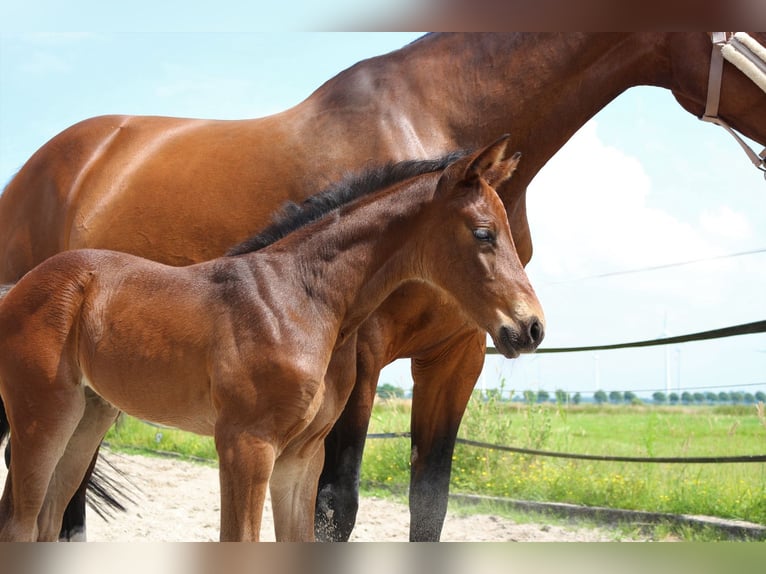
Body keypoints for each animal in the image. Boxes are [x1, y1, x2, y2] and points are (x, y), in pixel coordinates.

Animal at [0, 136, 544, 541]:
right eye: (484, 233)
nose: (532, 327)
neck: (299, 298)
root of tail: (18, 288)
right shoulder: (246, 444)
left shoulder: (302, 457)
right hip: (43, 417)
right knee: (20, 523)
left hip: (88, 416)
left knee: (46, 519)